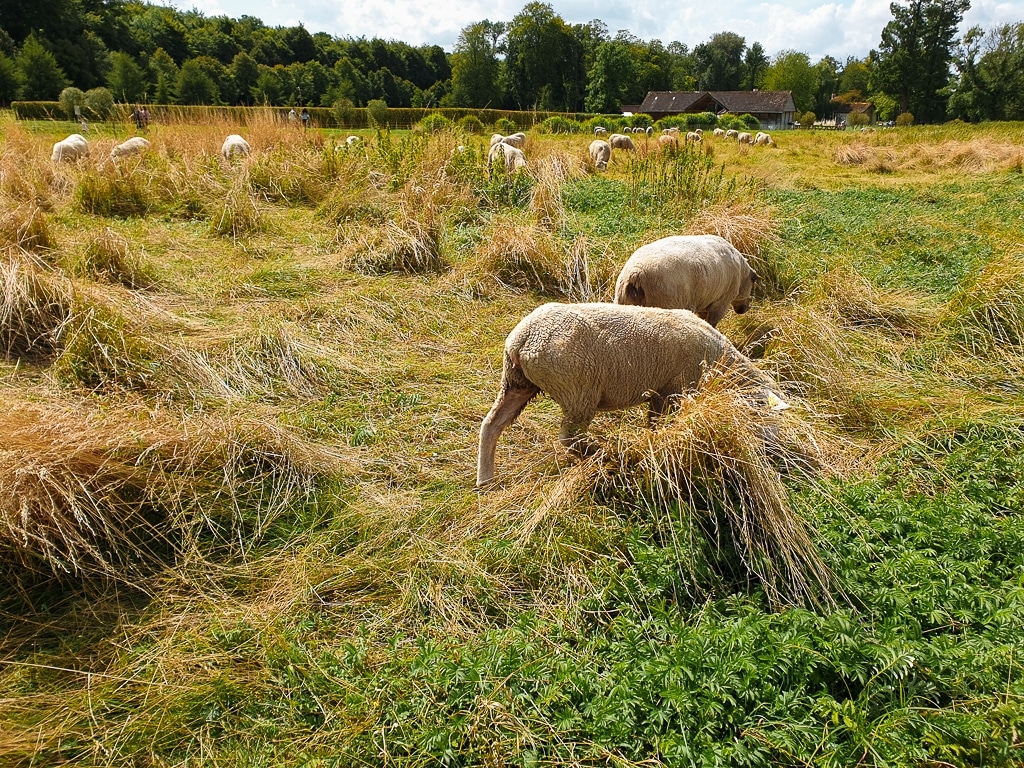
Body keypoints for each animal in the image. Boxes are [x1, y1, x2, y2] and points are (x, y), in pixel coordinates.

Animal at [475, 303, 786, 487]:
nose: (778, 457)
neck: (723, 363)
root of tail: (523, 339)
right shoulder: (674, 390)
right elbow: (662, 423)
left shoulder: (662, 393)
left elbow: (654, 424)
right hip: (577, 387)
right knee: (569, 437)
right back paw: (601, 454)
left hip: (516, 381)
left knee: (492, 424)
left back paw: (485, 480)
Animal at [606, 236, 761, 329]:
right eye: (752, 284)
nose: (744, 309)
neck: (742, 273)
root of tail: (636, 274)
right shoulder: (721, 302)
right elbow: (711, 323)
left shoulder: (706, 300)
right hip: (667, 303)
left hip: (622, 301)